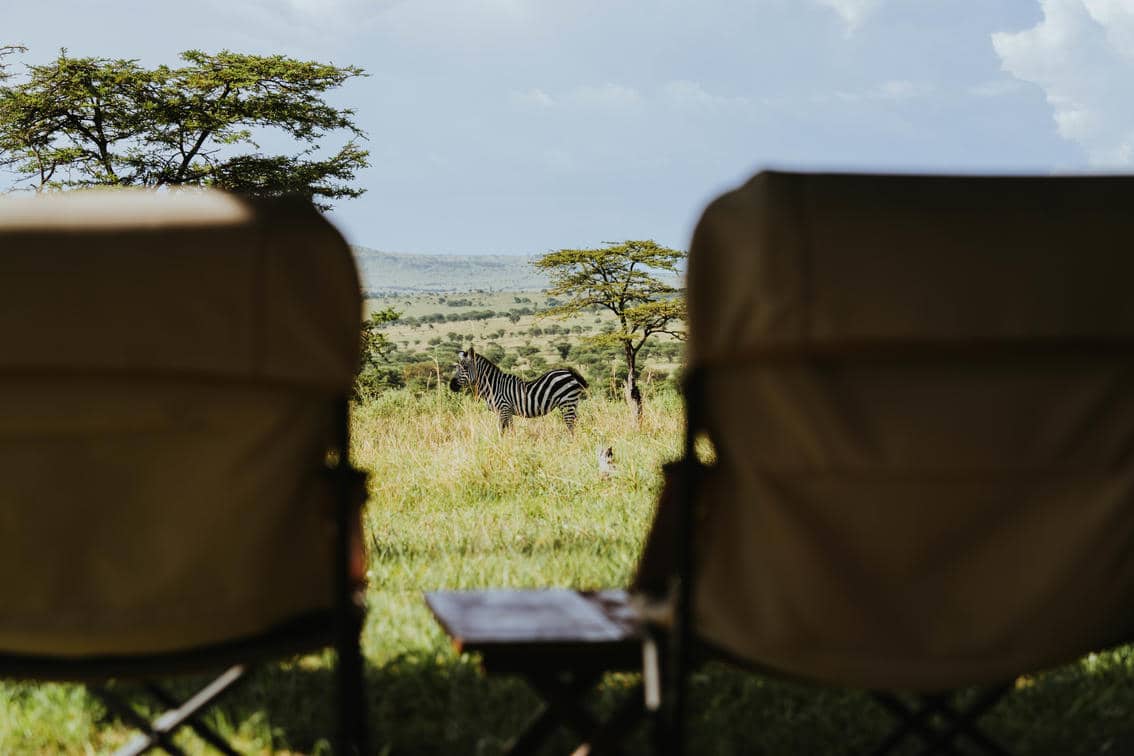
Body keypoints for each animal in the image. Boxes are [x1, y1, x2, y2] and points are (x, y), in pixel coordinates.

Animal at [449, 346, 589, 430]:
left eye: (465, 367)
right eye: (456, 367)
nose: (451, 385)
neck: (493, 386)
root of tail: (569, 372)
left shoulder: (504, 409)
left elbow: (502, 432)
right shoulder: (508, 412)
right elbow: (511, 431)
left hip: (567, 403)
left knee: (571, 426)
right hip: (572, 404)